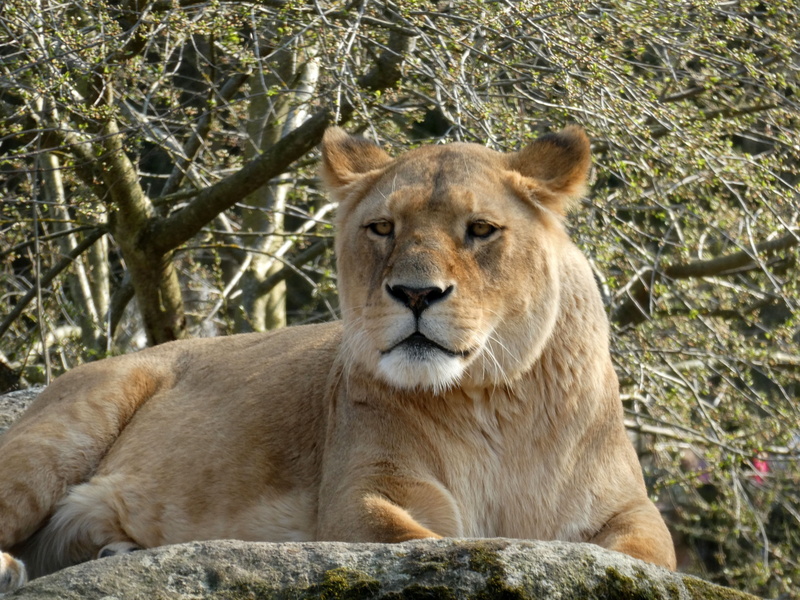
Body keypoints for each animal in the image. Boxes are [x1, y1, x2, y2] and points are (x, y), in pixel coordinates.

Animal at [0, 126, 676, 593]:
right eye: (382, 228)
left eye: (481, 229)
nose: (416, 294)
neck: (493, 400)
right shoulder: (361, 494)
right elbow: (419, 545)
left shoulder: (628, 509)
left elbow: (642, 555)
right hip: (60, 434)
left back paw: (114, 552)